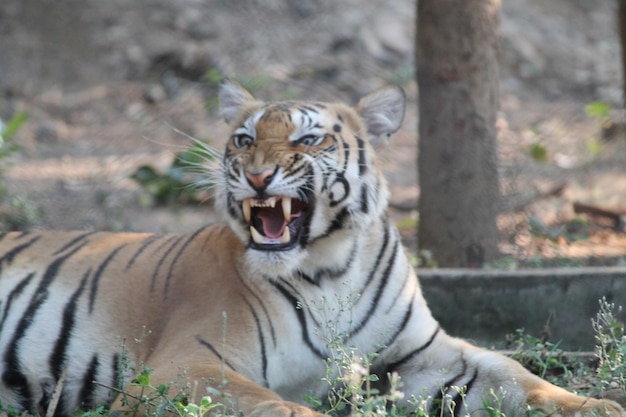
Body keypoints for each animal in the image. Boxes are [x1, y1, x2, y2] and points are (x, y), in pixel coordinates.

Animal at [0, 79, 620, 416]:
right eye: (243, 139)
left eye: (308, 137)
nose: (255, 175)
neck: (330, 269)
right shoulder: (186, 364)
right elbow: (272, 403)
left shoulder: (426, 355)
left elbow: (516, 374)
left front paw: (598, 405)